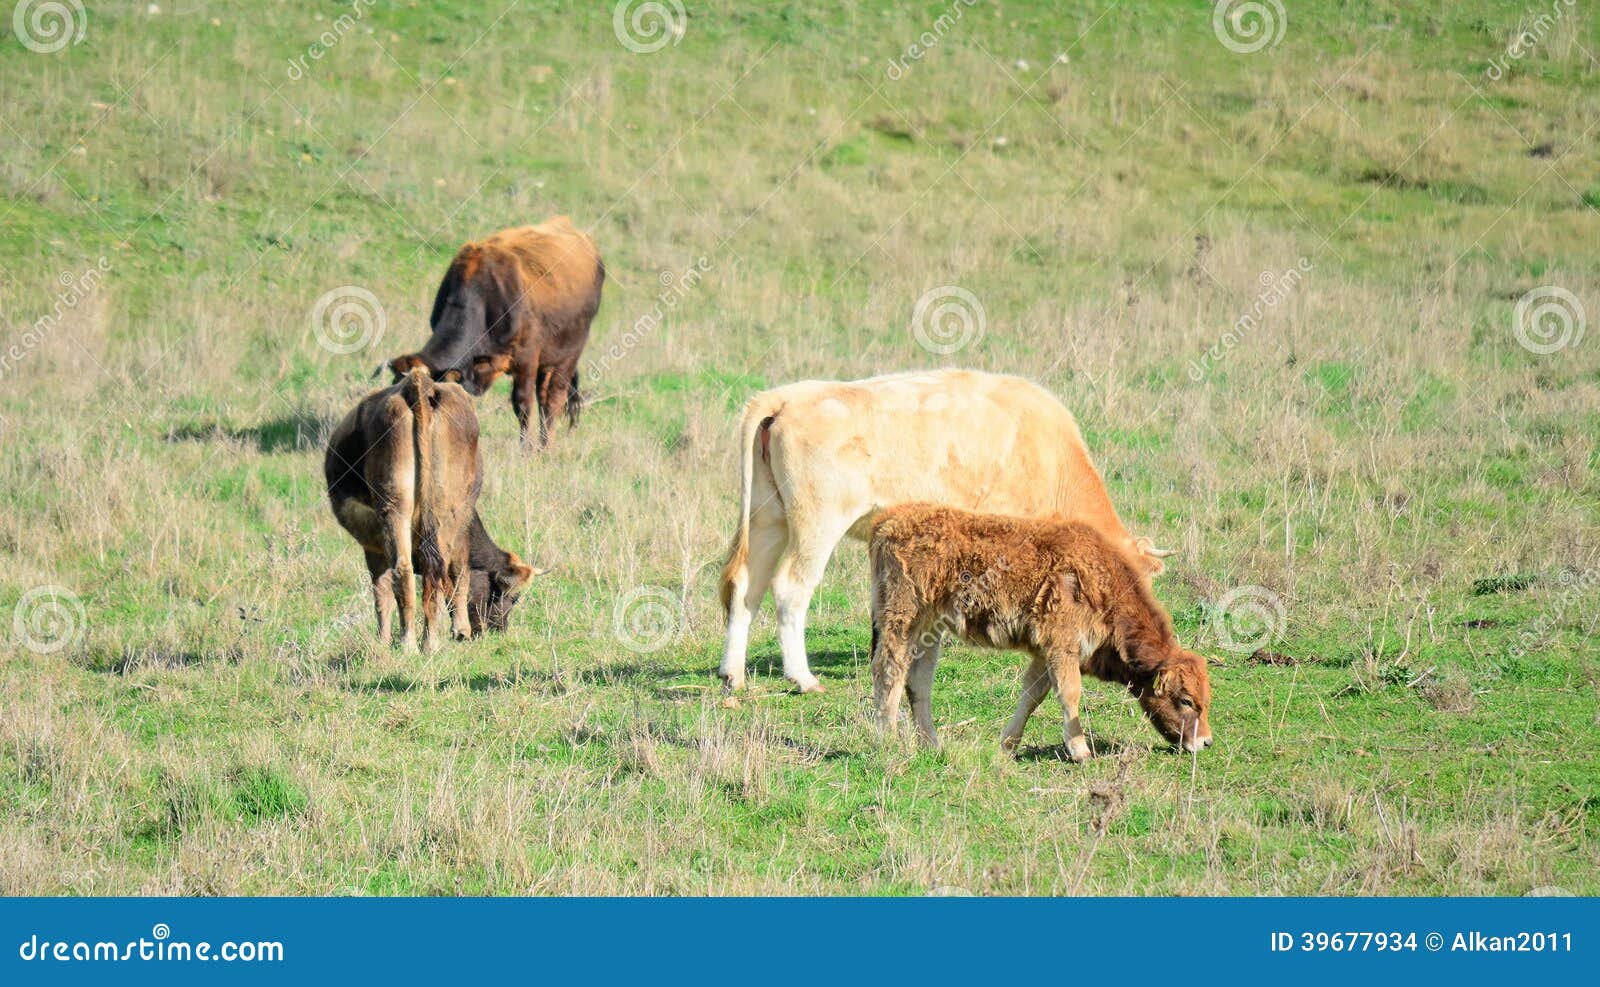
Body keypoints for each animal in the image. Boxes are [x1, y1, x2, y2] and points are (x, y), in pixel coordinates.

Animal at [325, 367, 485, 652]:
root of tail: (419, 384)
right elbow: (460, 571)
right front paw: (461, 630)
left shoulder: (373, 546)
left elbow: (382, 591)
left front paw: (382, 640)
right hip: (441, 511)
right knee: (433, 571)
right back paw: (426, 643)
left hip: (396, 508)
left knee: (405, 572)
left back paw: (410, 643)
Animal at [388, 216, 604, 449]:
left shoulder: (526, 358)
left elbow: (523, 405)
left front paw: (525, 450)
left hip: (570, 353)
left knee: (553, 399)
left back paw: (545, 447)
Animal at [717, 369, 1173, 694]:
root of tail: (786, 396)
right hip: (816, 524)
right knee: (790, 588)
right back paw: (802, 677)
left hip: (769, 519)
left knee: (746, 586)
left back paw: (732, 673)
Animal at [868, 504, 1213, 760]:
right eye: (1185, 700)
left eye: (1205, 699)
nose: (1205, 742)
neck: (1104, 584)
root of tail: (888, 520)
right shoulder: (1062, 646)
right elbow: (1070, 694)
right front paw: (1080, 751)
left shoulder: (1045, 652)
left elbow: (1032, 695)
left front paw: (1007, 746)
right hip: (902, 619)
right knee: (889, 670)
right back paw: (888, 742)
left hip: (930, 629)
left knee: (918, 681)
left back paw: (932, 744)